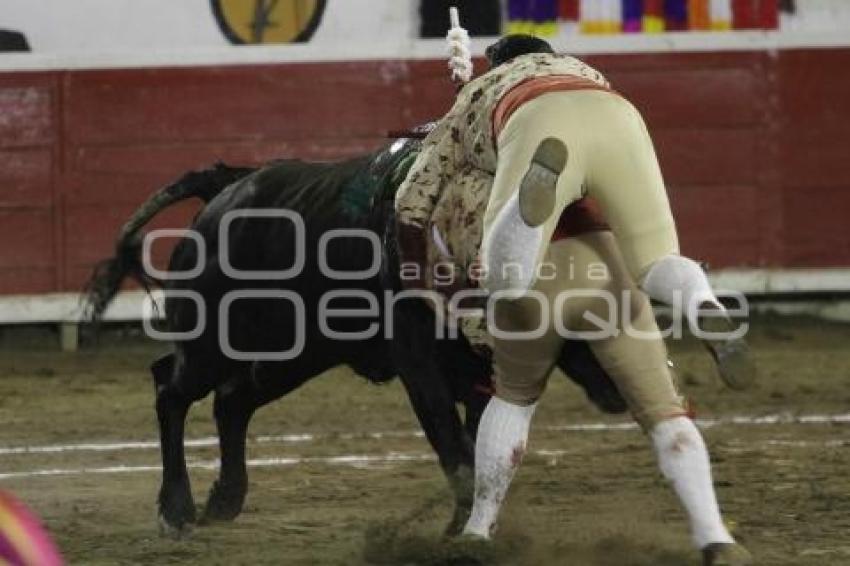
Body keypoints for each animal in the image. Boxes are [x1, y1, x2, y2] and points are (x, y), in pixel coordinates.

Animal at [86, 136, 628, 536]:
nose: (625, 388)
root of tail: (230, 185)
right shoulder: (418, 364)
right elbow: (454, 447)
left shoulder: (481, 374)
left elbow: (479, 450)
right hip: (212, 344)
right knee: (169, 388)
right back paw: (176, 509)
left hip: (294, 354)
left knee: (232, 401)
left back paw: (224, 499)